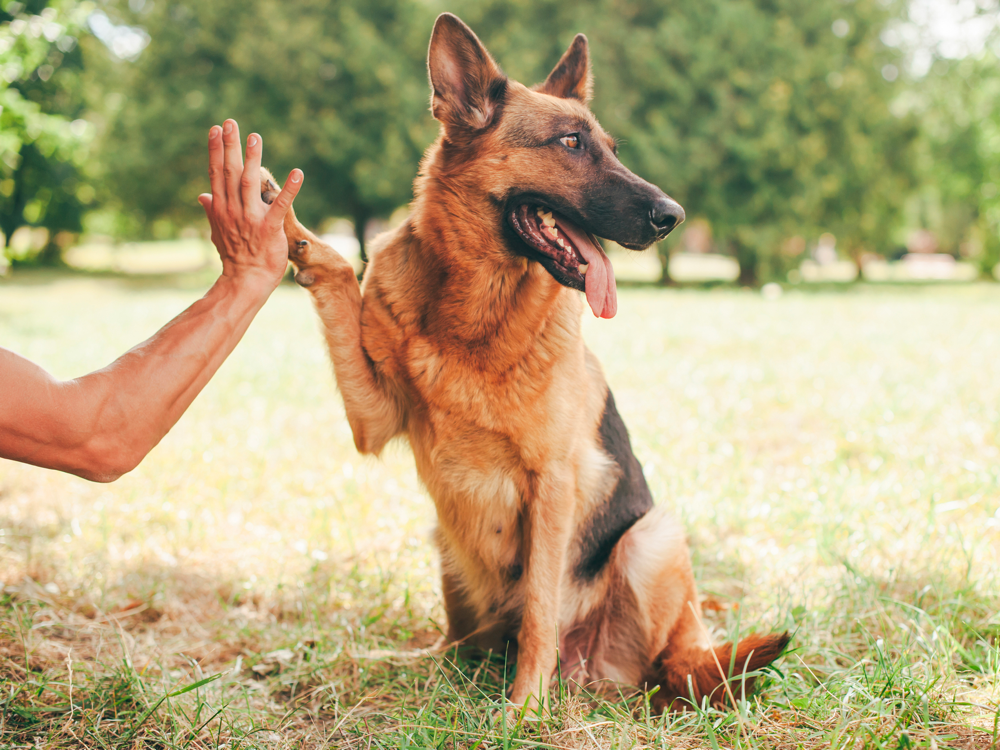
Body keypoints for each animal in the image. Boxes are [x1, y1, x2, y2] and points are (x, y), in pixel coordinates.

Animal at [260, 13, 788, 716]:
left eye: (609, 147)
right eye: (571, 143)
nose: (672, 217)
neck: (475, 314)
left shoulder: (553, 483)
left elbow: (541, 603)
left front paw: (524, 710)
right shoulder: (372, 420)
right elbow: (338, 270)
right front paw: (284, 221)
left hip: (653, 538)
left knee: (667, 666)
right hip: (445, 545)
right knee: (460, 642)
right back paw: (418, 668)